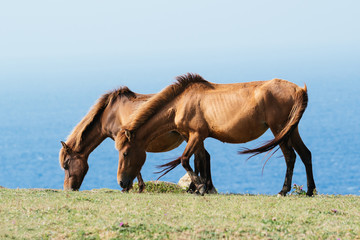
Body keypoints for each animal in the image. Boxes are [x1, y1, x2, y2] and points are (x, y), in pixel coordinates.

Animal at [59, 86, 215, 193]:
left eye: (66, 165)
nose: (68, 189)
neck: (109, 114)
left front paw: (132, 187)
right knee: (203, 156)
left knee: (200, 157)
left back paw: (199, 188)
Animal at [116, 74, 316, 196]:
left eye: (125, 153)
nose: (121, 183)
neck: (181, 103)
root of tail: (299, 90)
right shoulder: (194, 137)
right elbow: (199, 159)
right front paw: (198, 187)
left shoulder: (196, 135)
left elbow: (186, 160)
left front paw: (200, 187)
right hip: (291, 129)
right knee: (305, 154)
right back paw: (310, 191)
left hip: (279, 129)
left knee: (290, 156)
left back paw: (283, 190)